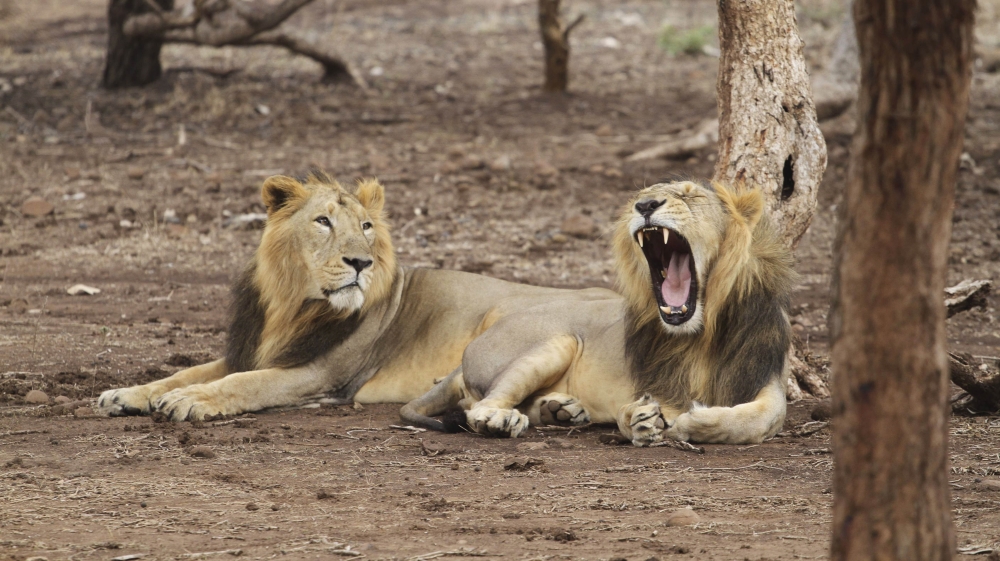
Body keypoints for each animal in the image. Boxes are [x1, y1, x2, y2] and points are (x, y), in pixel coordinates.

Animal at [98, 172, 610, 421]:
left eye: (366, 226)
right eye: (323, 221)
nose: (361, 263)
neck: (291, 305)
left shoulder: (319, 373)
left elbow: (243, 384)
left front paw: (190, 402)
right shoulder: (254, 350)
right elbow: (185, 372)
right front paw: (126, 395)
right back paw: (562, 410)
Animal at [401, 179, 794, 444]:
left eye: (690, 194)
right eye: (641, 195)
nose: (645, 204)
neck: (699, 333)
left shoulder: (764, 376)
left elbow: (762, 417)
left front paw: (696, 422)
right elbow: (636, 410)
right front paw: (646, 420)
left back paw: (559, 410)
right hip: (557, 340)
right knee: (481, 404)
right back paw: (501, 419)